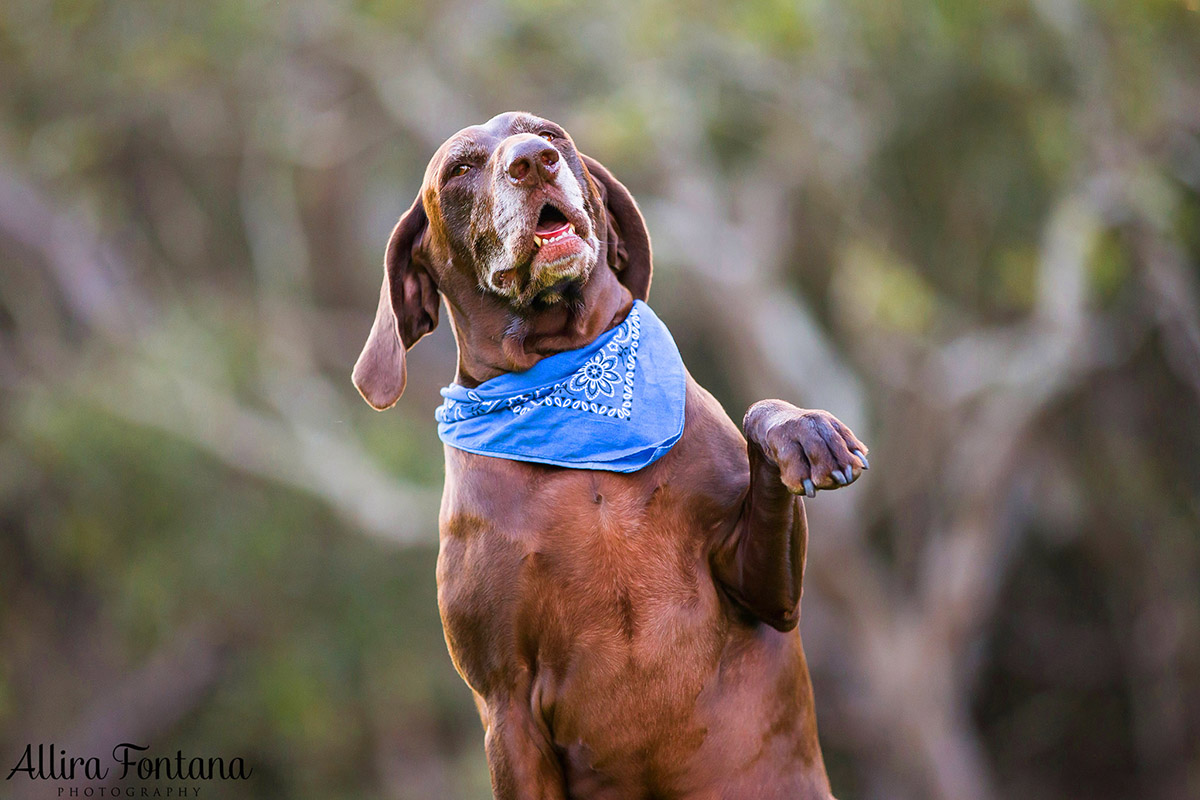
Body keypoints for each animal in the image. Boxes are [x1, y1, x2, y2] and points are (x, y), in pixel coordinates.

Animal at [350, 112, 868, 800]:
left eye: (548, 133)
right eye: (459, 168)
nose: (532, 161)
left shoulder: (768, 597)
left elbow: (761, 413)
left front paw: (803, 431)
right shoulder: (507, 707)